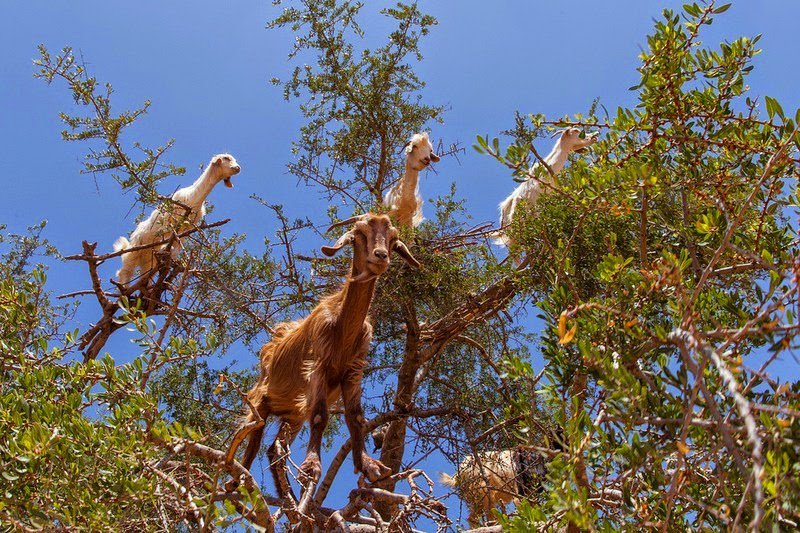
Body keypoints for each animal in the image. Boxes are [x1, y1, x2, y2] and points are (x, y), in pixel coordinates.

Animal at [114, 154, 241, 286]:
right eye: (226, 158)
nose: (238, 168)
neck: (193, 197)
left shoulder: (187, 228)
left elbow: (177, 244)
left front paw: (172, 256)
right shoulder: (170, 220)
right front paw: (166, 249)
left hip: (148, 261)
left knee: (145, 278)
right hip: (135, 249)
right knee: (125, 271)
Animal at [228, 212, 422, 498]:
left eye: (393, 238)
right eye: (359, 234)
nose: (380, 256)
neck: (342, 328)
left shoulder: (353, 371)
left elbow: (356, 417)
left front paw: (368, 465)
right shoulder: (317, 365)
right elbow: (320, 417)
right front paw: (311, 467)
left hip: (293, 413)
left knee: (275, 449)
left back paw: (286, 493)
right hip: (261, 399)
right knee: (251, 437)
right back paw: (237, 481)